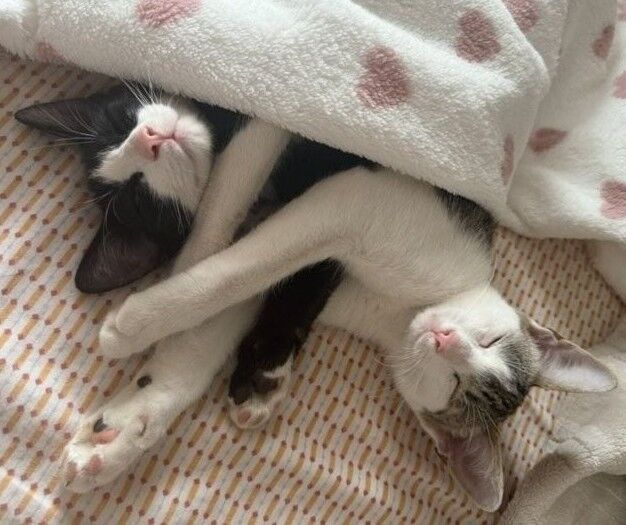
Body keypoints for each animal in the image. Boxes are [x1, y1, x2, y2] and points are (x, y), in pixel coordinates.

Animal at [16, 86, 616, 511]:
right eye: (490, 341)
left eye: (456, 382)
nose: (444, 338)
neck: (400, 313)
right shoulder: (356, 199)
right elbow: (227, 255)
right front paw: (145, 317)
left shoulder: (333, 240)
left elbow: (226, 304)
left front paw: (124, 424)